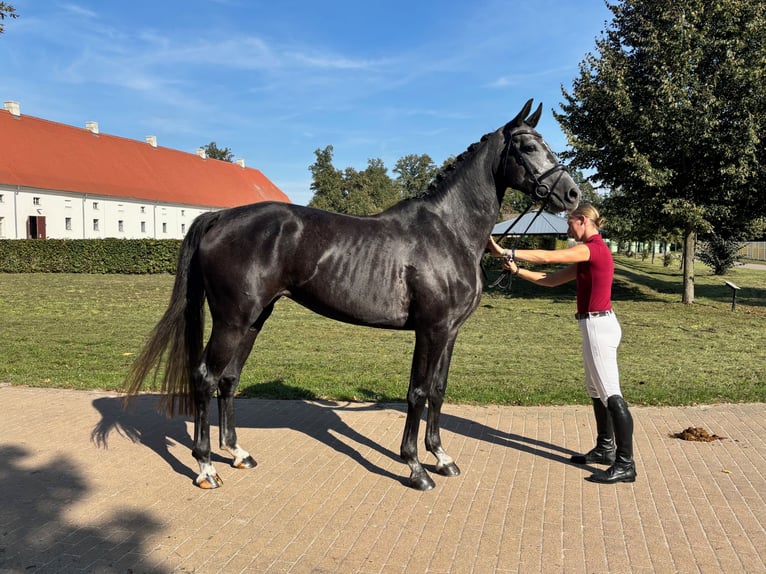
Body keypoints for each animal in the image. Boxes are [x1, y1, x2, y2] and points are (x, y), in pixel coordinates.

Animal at [125, 99, 581, 491]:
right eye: (527, 147)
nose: (573, 194)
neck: (448, 231)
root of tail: (219, 217)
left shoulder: (450, 332)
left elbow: (437, 390)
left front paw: (441, 457)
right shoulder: (431, 330)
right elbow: (416, 392)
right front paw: (416, 467)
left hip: (254, 319)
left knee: (228, 379)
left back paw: (237, 453)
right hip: (232, 320)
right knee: (205, 377)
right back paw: (205, 468)